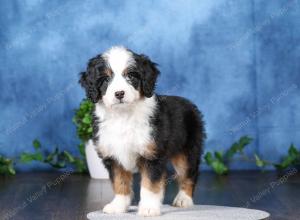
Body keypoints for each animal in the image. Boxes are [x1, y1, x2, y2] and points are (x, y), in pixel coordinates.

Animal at [79, 46, 205, 217]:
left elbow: (150, 184)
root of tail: (190, 104)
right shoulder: (113, 156)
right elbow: (120, 182)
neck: (123, 116)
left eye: (131, 76)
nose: (119, 93)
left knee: (188, 173)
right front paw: (118, 206)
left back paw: (183, 199)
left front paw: (149, 208)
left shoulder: (152, 155)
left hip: (186, 151)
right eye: (105, 79)